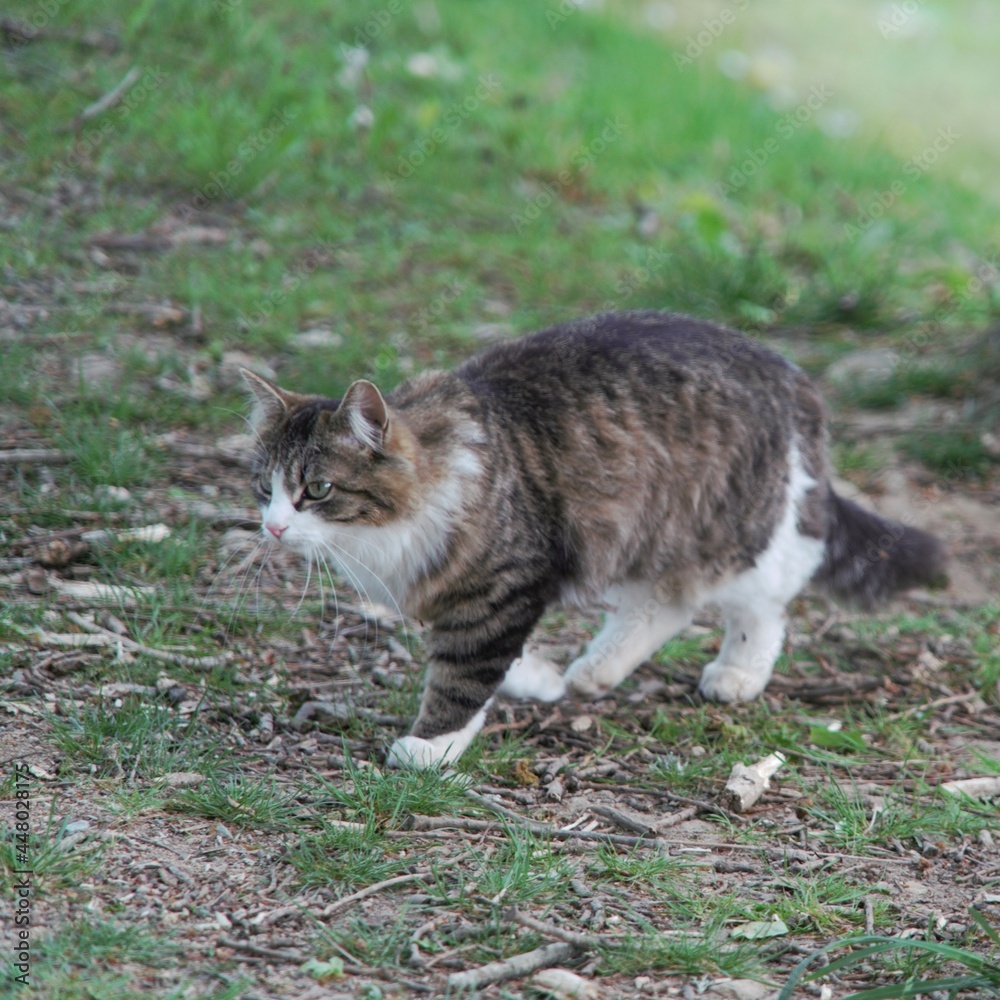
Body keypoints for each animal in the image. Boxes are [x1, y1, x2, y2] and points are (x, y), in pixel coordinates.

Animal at [242, 310, 944, 764]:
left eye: (317, 490)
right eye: (264, 488)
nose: (274, 526)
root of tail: (790, 375)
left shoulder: (506, 584)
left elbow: (464, 672)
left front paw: (433, 745)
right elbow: (493, 658)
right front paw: (535, 679)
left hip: (732, 530)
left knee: (762, 605)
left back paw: (736, 673)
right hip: (648, 535)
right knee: (667, 605)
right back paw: (594, 672)